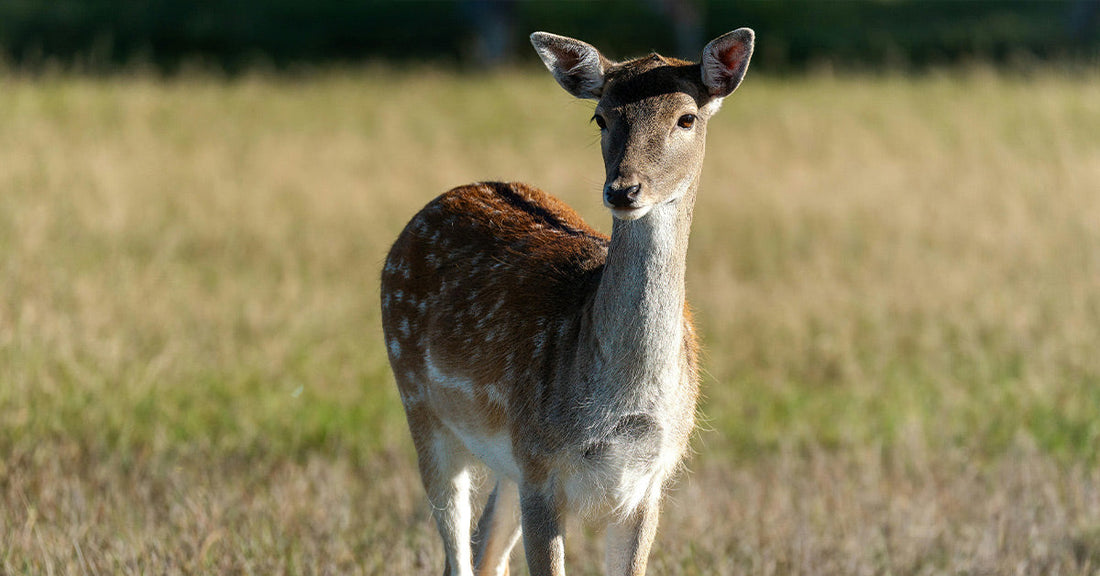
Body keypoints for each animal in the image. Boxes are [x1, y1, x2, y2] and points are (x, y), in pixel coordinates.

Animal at [381, 28, 754, 576]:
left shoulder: (650, 479)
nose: (623, 190)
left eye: (686, 117)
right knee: (459, 553)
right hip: (420, 403)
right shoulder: (540, 462)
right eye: (600, 116)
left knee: (486, 551)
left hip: (505, 458)